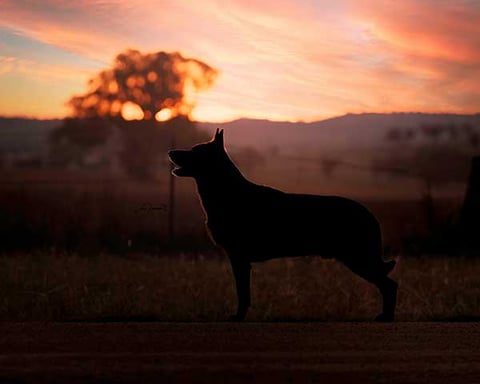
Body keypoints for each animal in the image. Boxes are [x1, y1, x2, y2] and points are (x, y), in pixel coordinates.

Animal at [169, 129, 398, 320]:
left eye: (195, 151)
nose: (170, 151)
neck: (226, 190)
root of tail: (369, 213)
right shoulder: (239, 259)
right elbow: (244, 293)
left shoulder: (239, 258)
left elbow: (243, 293)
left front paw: (239, 317)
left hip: (357, 258)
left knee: (390, 285)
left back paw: (386, 317)